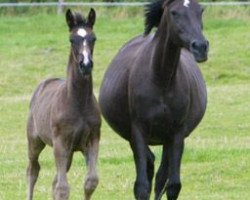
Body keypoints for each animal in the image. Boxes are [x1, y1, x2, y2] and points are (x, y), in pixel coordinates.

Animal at [99, 0, 209, 199]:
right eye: (174, 12)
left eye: (201, 10)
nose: (201, 47)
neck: (161, 79)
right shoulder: (138, 131)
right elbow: (142, 186)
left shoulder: (177, 133)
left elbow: (172, 185)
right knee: (150, 166)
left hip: (167, 140)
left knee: (161, 176)